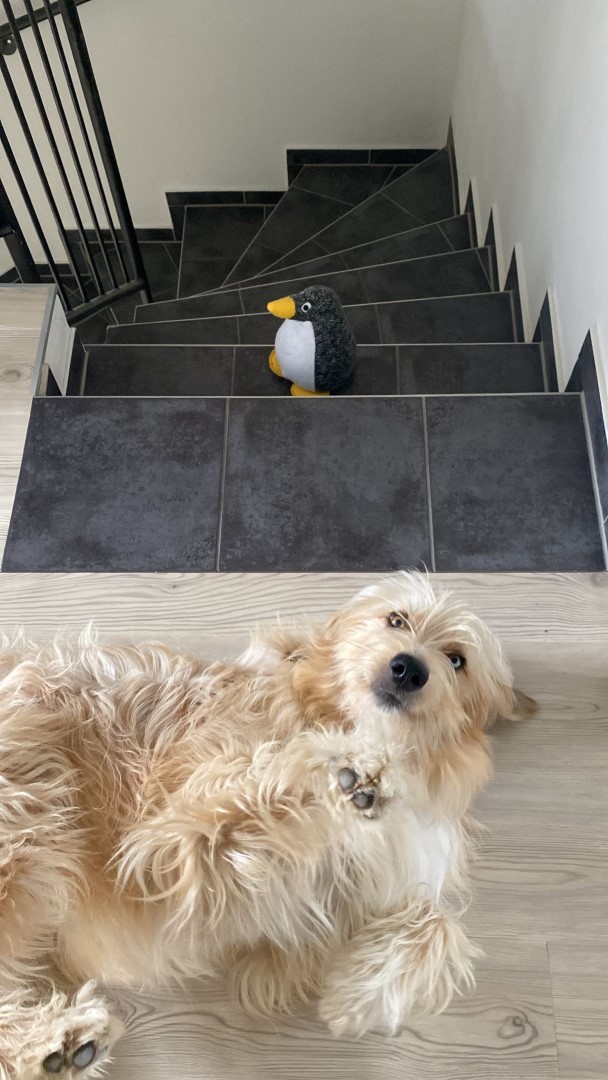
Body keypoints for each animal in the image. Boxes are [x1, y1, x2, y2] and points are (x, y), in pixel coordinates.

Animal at [0, 573, 533, 1078]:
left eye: (457, 659)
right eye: (396, 619)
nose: (410, 667)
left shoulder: (290, 945)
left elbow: (435, 923)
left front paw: (362, 992)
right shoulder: (166, 844)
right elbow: (274, 788)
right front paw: (349, 771)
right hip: (29, 816)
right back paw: (48, 1044)